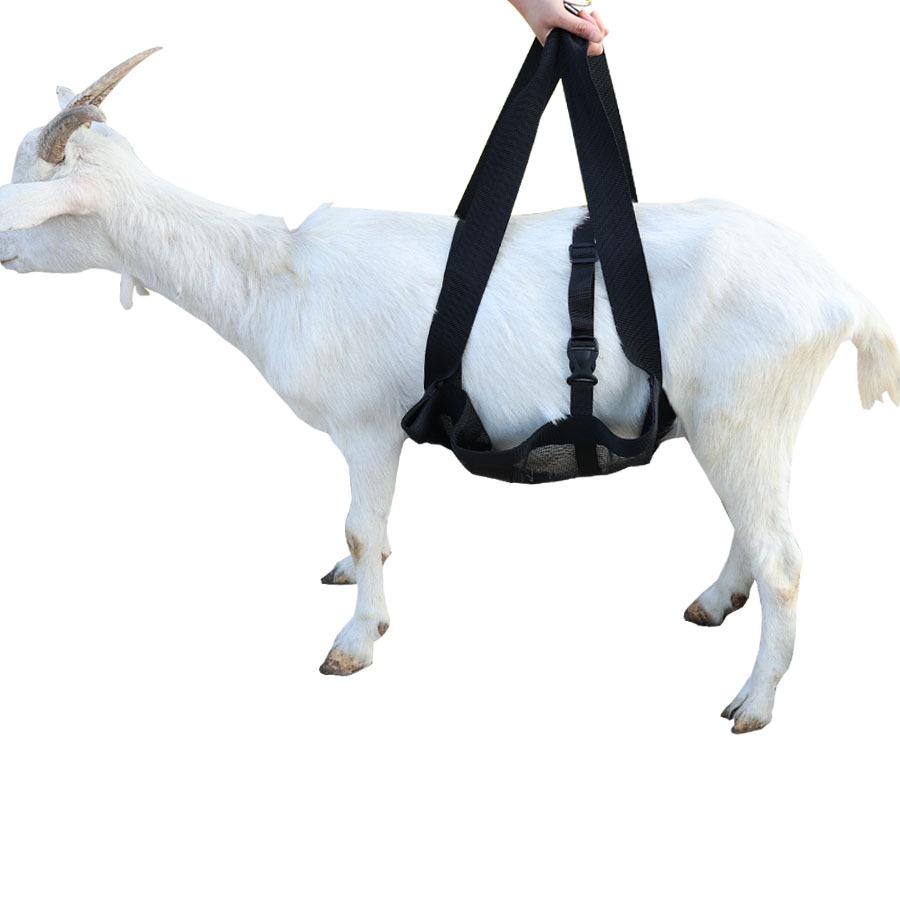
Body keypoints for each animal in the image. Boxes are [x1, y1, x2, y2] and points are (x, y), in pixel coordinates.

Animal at [1, 49, 898, 734]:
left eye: (35, 193)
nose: (3, 250)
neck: (275, 277)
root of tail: (840, 291)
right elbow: (370, 533)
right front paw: (354, 580)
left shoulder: (366, 423)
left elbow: (361, 526)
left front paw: (356, 640)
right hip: (738, 419)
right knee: (755, 524)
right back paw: (716, 601)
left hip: (741, 408)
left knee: (784, 556)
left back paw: (754, 702)